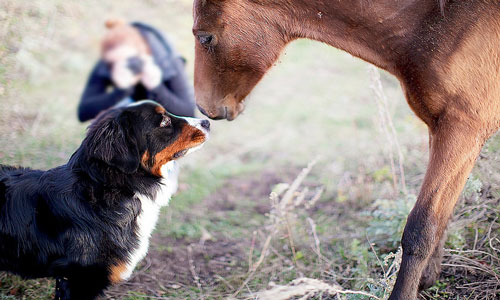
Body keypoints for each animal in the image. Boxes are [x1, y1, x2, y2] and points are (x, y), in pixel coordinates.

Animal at [191, 1, 500, 298]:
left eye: (205, 37)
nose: (204, 108)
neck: (437, 23)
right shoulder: (442, 131)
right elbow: (441, 215)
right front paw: (427, 279)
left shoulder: (462, 130)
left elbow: (421, 226)